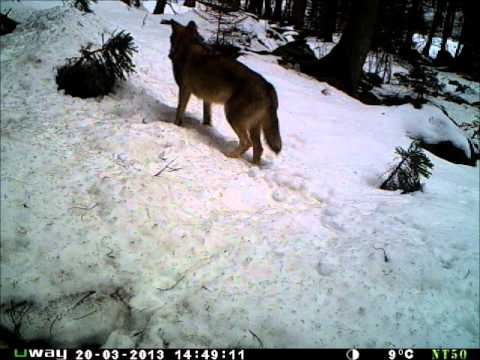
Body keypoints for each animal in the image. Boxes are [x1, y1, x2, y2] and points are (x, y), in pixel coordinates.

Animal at [168, 20, 282, 164]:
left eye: (170, 38)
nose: (169, 55)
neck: (188, 46)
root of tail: (269, 87)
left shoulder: (184, 90)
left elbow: (179, 111)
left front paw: (175, 125)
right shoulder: (207, 99)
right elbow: (207, 116)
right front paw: (206, 126)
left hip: (232, 116)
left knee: (247, 143)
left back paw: (229, 156)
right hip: (253, 126)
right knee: (259, 148)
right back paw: (253, 166)